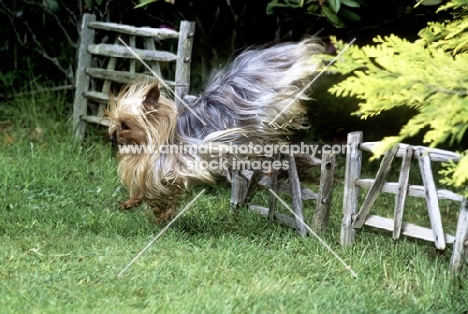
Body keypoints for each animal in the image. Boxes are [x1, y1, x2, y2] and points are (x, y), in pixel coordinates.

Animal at [105, 38, 326, 222]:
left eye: (125, 125)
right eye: (114, 123)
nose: (112, 137)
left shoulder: (177, 165)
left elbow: (162, 189)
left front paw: (162, 212)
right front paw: (132, 202)